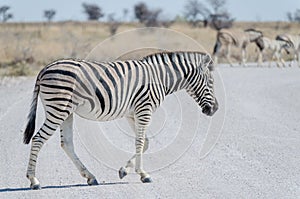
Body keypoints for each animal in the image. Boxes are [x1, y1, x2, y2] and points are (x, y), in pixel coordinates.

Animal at [22, 50, 218, 189]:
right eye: (211, 82)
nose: (215, 109)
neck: (160, 78)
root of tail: (44, 69)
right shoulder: (144, 109)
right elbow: (140, 142)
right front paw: (143, 174)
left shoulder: (133, 113)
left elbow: (145, 142)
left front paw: (124, 170)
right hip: (58, 108)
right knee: (38, 139)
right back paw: (34, 180)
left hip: (66, 112)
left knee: (67, 144)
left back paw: (90, 177)